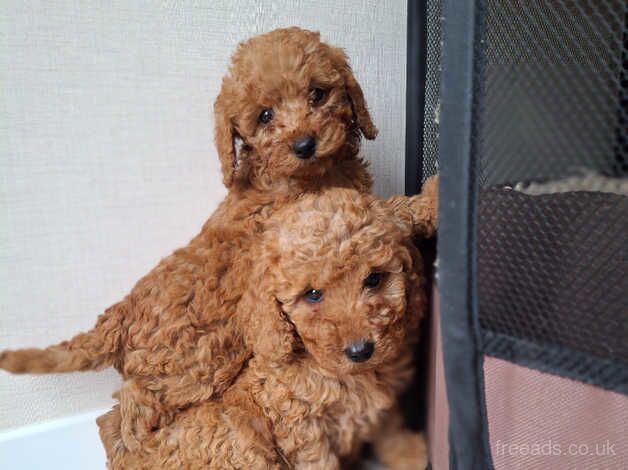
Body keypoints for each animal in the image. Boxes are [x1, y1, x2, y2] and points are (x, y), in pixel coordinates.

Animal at [104, 188, 432, 470]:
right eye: (313, 294)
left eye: (374, 279)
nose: (360, 351)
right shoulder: (302, 427)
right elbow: (320, 461)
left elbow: (389, 429)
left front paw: (410, 454)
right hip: (239, 438)